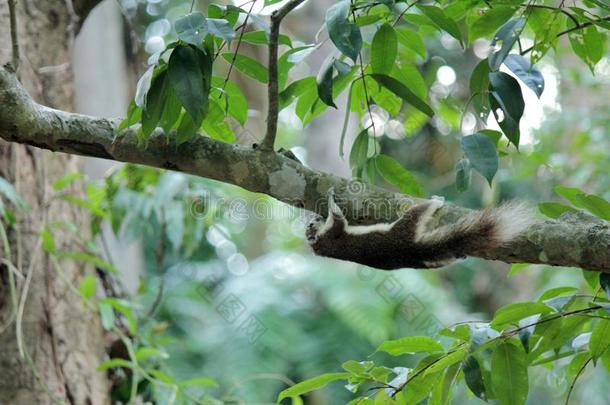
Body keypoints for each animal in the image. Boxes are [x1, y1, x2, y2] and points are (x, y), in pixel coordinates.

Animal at [306, 188, 528, 270]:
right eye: (310, 227)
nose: (313, 220)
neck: (319, 245)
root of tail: (409, 250)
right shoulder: (333, 232)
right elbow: (337, 216)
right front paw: (330, 196)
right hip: (406, 227)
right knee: (419, 212)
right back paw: (436, 202)